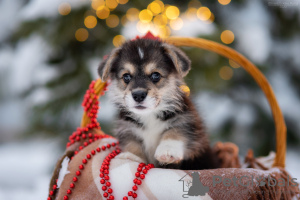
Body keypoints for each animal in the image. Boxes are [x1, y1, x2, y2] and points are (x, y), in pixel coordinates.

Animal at [98, 38, 218, 170]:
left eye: (156, 75)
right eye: (126, 76)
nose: (138, 95)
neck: (149, 116)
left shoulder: (187, 122)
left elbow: (174, 132)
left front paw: (167, 151)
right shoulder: (127, 129)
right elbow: (132, 144)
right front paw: (131, 156)